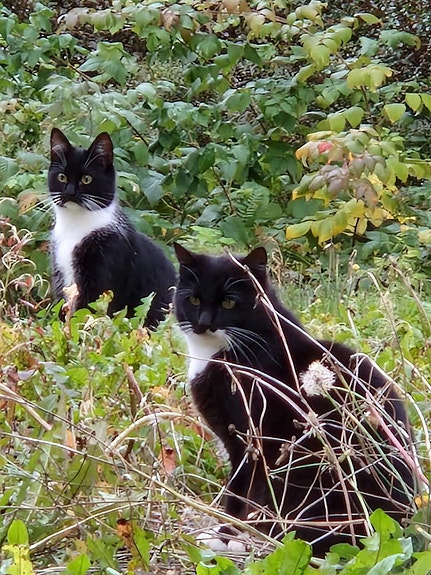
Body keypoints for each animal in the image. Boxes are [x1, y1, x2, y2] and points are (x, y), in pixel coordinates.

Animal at [48, 128, 176, 327]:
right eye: (62, 177)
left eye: (87, 179)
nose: (69, 192)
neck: (75, 226)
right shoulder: (59, 270)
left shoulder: (104, 266)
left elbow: (86, 311)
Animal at [173, 243, 418, 555]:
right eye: (193, 299)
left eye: (229, 303)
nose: (204, 323)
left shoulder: (248, 439)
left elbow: (239, 491)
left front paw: (226, 534)